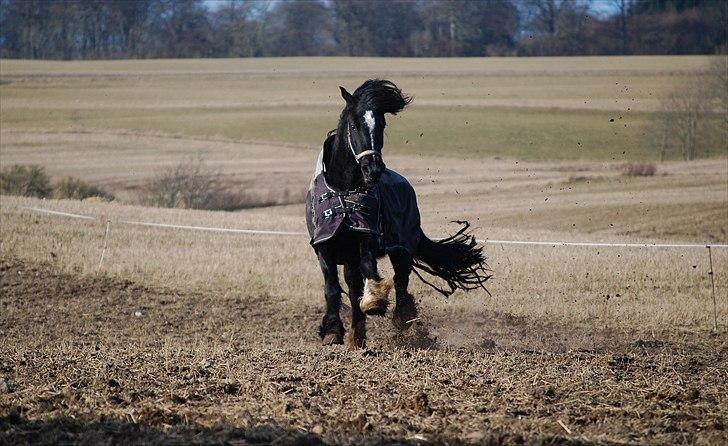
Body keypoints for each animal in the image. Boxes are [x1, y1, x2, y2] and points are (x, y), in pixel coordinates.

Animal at [304, 81, 486, 352]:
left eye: (381, 124)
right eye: (355, 124)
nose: (372, 169)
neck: (343, 191)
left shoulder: (367, 235)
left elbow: (370, 268)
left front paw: (374, 302)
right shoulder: (324, 245)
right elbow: (332, 289)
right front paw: (333, 331)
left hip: (402, 248)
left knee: (401, 279)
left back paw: (401, 317)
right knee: (353, 286)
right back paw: (357, 336)